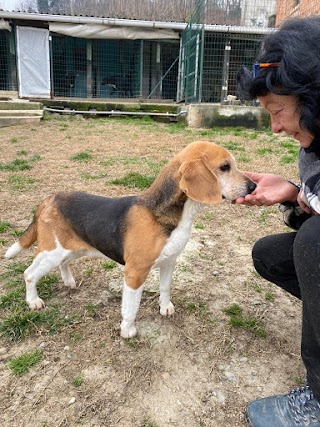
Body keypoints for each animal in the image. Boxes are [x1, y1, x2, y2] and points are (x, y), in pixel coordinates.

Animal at [4, 142, 255, 340]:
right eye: (224, 167)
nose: (253, 186)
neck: (169, 213)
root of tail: (48, 199)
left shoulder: (169, 261)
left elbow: (165, 287)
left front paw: (165, 307)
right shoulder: (135, 273)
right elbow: (131, 307)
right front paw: (127, 330)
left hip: (71, 249)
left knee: (63, 263)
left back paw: (69, 281)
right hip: (51, 251)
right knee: (29, 274)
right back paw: (33, 300)